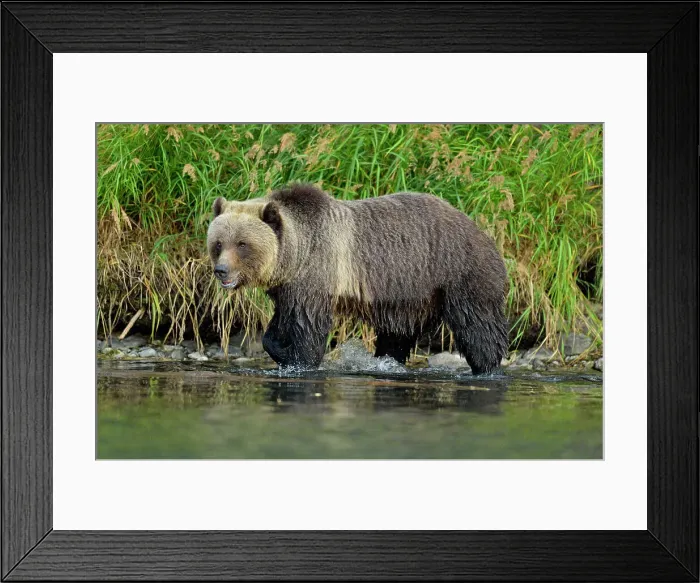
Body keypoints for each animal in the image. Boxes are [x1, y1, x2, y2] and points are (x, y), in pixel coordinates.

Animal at [206, 183, 508, 374]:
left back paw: (487, 367)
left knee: (478, 326)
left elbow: (308, 328)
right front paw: (279, 347)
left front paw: (300, 361)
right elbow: (280, 323)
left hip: (458, 272)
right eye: (218, 243)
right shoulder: (288, 287)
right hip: (409, 293)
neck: (295, 255)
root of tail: (482, 231)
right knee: (397, 335)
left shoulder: (318, 274)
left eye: (242, 244)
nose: (221, 271)